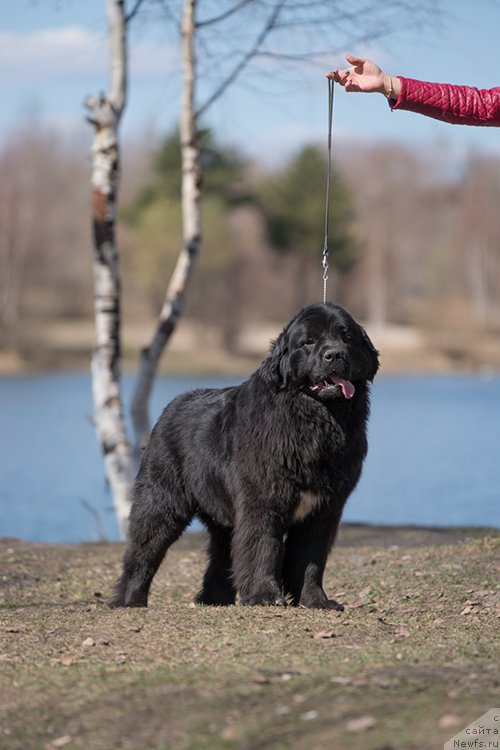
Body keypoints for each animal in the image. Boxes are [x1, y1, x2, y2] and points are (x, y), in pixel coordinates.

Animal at [111, 304, 376, 612]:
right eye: (309, 341)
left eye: (347, 338)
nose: (334, 354)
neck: (316, 422)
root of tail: (172, 406)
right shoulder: (262, 499)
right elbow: (262, 545)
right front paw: (263, 596)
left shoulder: (324, 511)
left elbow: (311, 559)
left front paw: (316, 601)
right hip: (161, 500)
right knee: (144, 548)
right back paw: (130, 600)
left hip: (221, 514)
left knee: (221, 556)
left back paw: (215, 600)